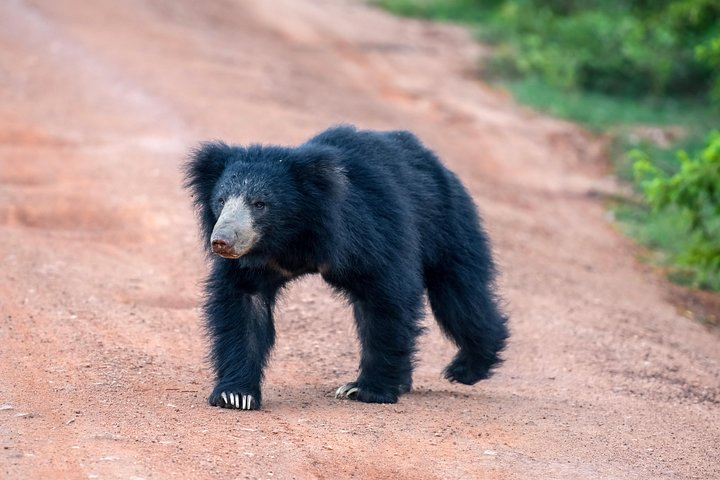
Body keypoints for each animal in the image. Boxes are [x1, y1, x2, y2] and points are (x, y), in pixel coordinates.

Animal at [184, 125, 508, 410]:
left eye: (260, 204)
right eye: (221, 201)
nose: (222, 241)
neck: (292, 238)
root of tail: (434, 161)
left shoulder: (369, 232)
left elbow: (386, 299)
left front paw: (365, 390)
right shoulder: (254, 262)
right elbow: (243, 306)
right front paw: (235, 395)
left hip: (447, 223)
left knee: (459, 298)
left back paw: (466, 368)